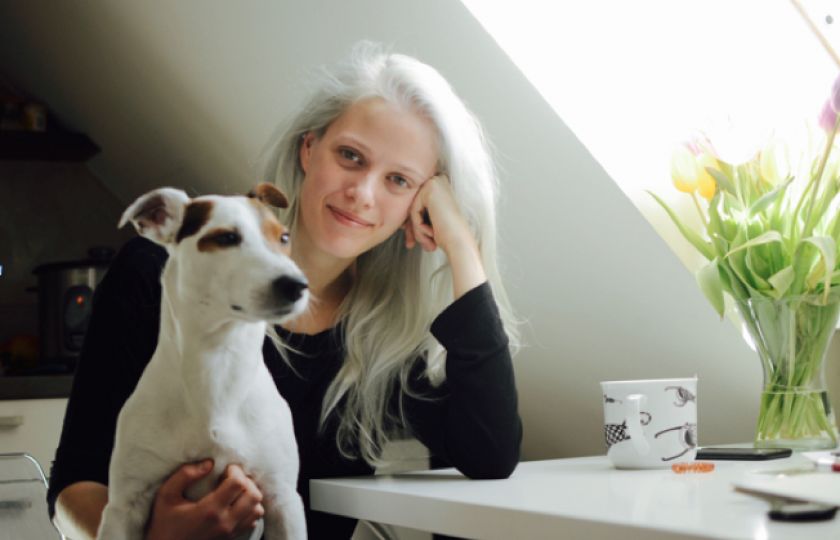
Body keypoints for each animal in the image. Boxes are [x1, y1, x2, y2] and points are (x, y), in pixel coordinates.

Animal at [96, 183, 309, 540]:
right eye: (226, 238)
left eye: (283, 237)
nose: (297, 285)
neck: (217, 362)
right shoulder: (124, 506)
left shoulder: (283, 499)